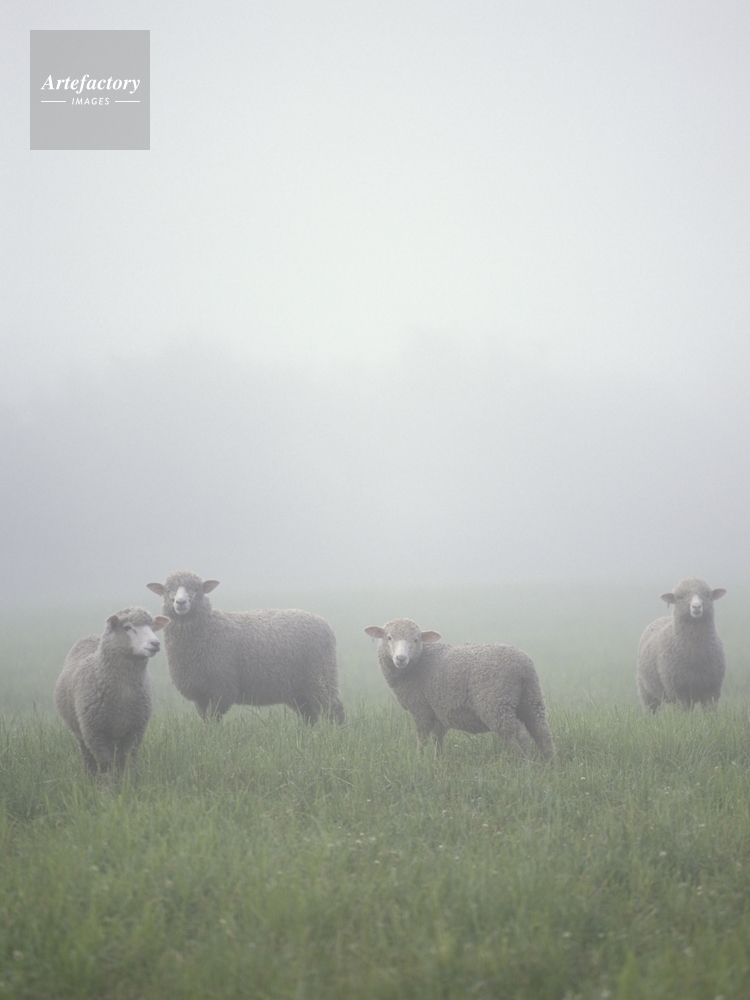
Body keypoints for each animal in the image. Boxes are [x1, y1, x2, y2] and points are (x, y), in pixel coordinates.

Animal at [54, 607, 169, 775]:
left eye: (152, 627)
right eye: (127, 628)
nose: (155, 643)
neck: (124, 693)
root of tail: (92, 635)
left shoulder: (135, 730)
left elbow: (126, 762)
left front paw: (126, 780)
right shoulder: (94, 732)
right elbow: (106, 765)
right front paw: (107, 782)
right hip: (80, 733)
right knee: (87, 756)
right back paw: (89, 775)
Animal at [146, 571, 346, 724]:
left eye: (197, 588)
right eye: (167, 590)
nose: (180, 602)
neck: (209, 628)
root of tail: (323, 622)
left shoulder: (222, 688)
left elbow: (213, 718)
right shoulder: (200, 693)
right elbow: (206, 720)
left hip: (320, 675)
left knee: (335, 709)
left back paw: (336, 735)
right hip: (298, 688)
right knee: (309, 716)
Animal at [364, 618, 555, 759]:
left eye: (416, 639)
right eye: (389, 637)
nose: (401, 658)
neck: (419, 663)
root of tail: (522, 666)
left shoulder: (421, 709)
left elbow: (422, 739)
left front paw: (419, 760)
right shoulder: (438, 710)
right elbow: (437, 740)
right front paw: (438, 761)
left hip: (495, 702)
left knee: (519, 734)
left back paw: (524, 764)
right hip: (531, 698)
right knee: (542, 732)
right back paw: (549, 762)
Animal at [636, 577, 727, 711]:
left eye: (707, 594)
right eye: (680, 597)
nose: (696, 607)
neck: (696, 656)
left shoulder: (712, 690)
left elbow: (709, 712)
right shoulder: (678, 691)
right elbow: (684, 712)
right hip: (646, 690)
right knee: (651, 709)